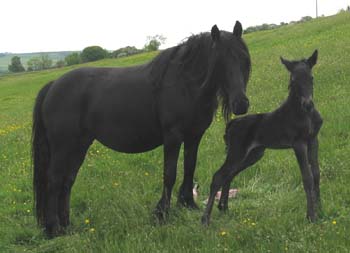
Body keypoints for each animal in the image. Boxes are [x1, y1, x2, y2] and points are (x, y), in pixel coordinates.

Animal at [202, 50, 322, 225]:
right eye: (293, 80)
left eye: (311, 77)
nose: (308, 104)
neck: (305, 114)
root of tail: (231, 124)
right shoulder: (298, 143)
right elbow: (307, 177)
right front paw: (311, 216)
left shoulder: (313, 140)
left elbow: (316, 174)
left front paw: (320, 209)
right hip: (237, 151)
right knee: (218, 176)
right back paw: (205, 218)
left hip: (254, 153)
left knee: (229, 174)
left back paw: (224, 207)